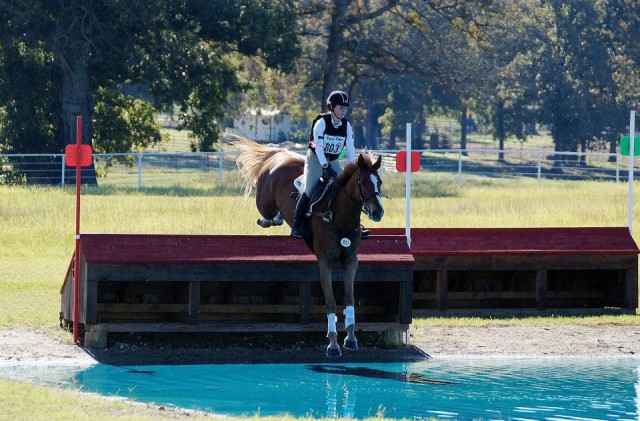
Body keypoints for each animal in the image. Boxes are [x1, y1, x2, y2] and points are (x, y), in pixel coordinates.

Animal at [235, 137, 384, 354]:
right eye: (362, 182)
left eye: (379, 182)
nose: (378, 212)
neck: (339, 215)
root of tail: (280, 154)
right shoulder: (324, 261)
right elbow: (330, 302)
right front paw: (333, 344)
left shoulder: (351, 260)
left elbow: (349, 298)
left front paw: (351, 338)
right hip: (264, 200)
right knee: (267, 211)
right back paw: (270, 220)